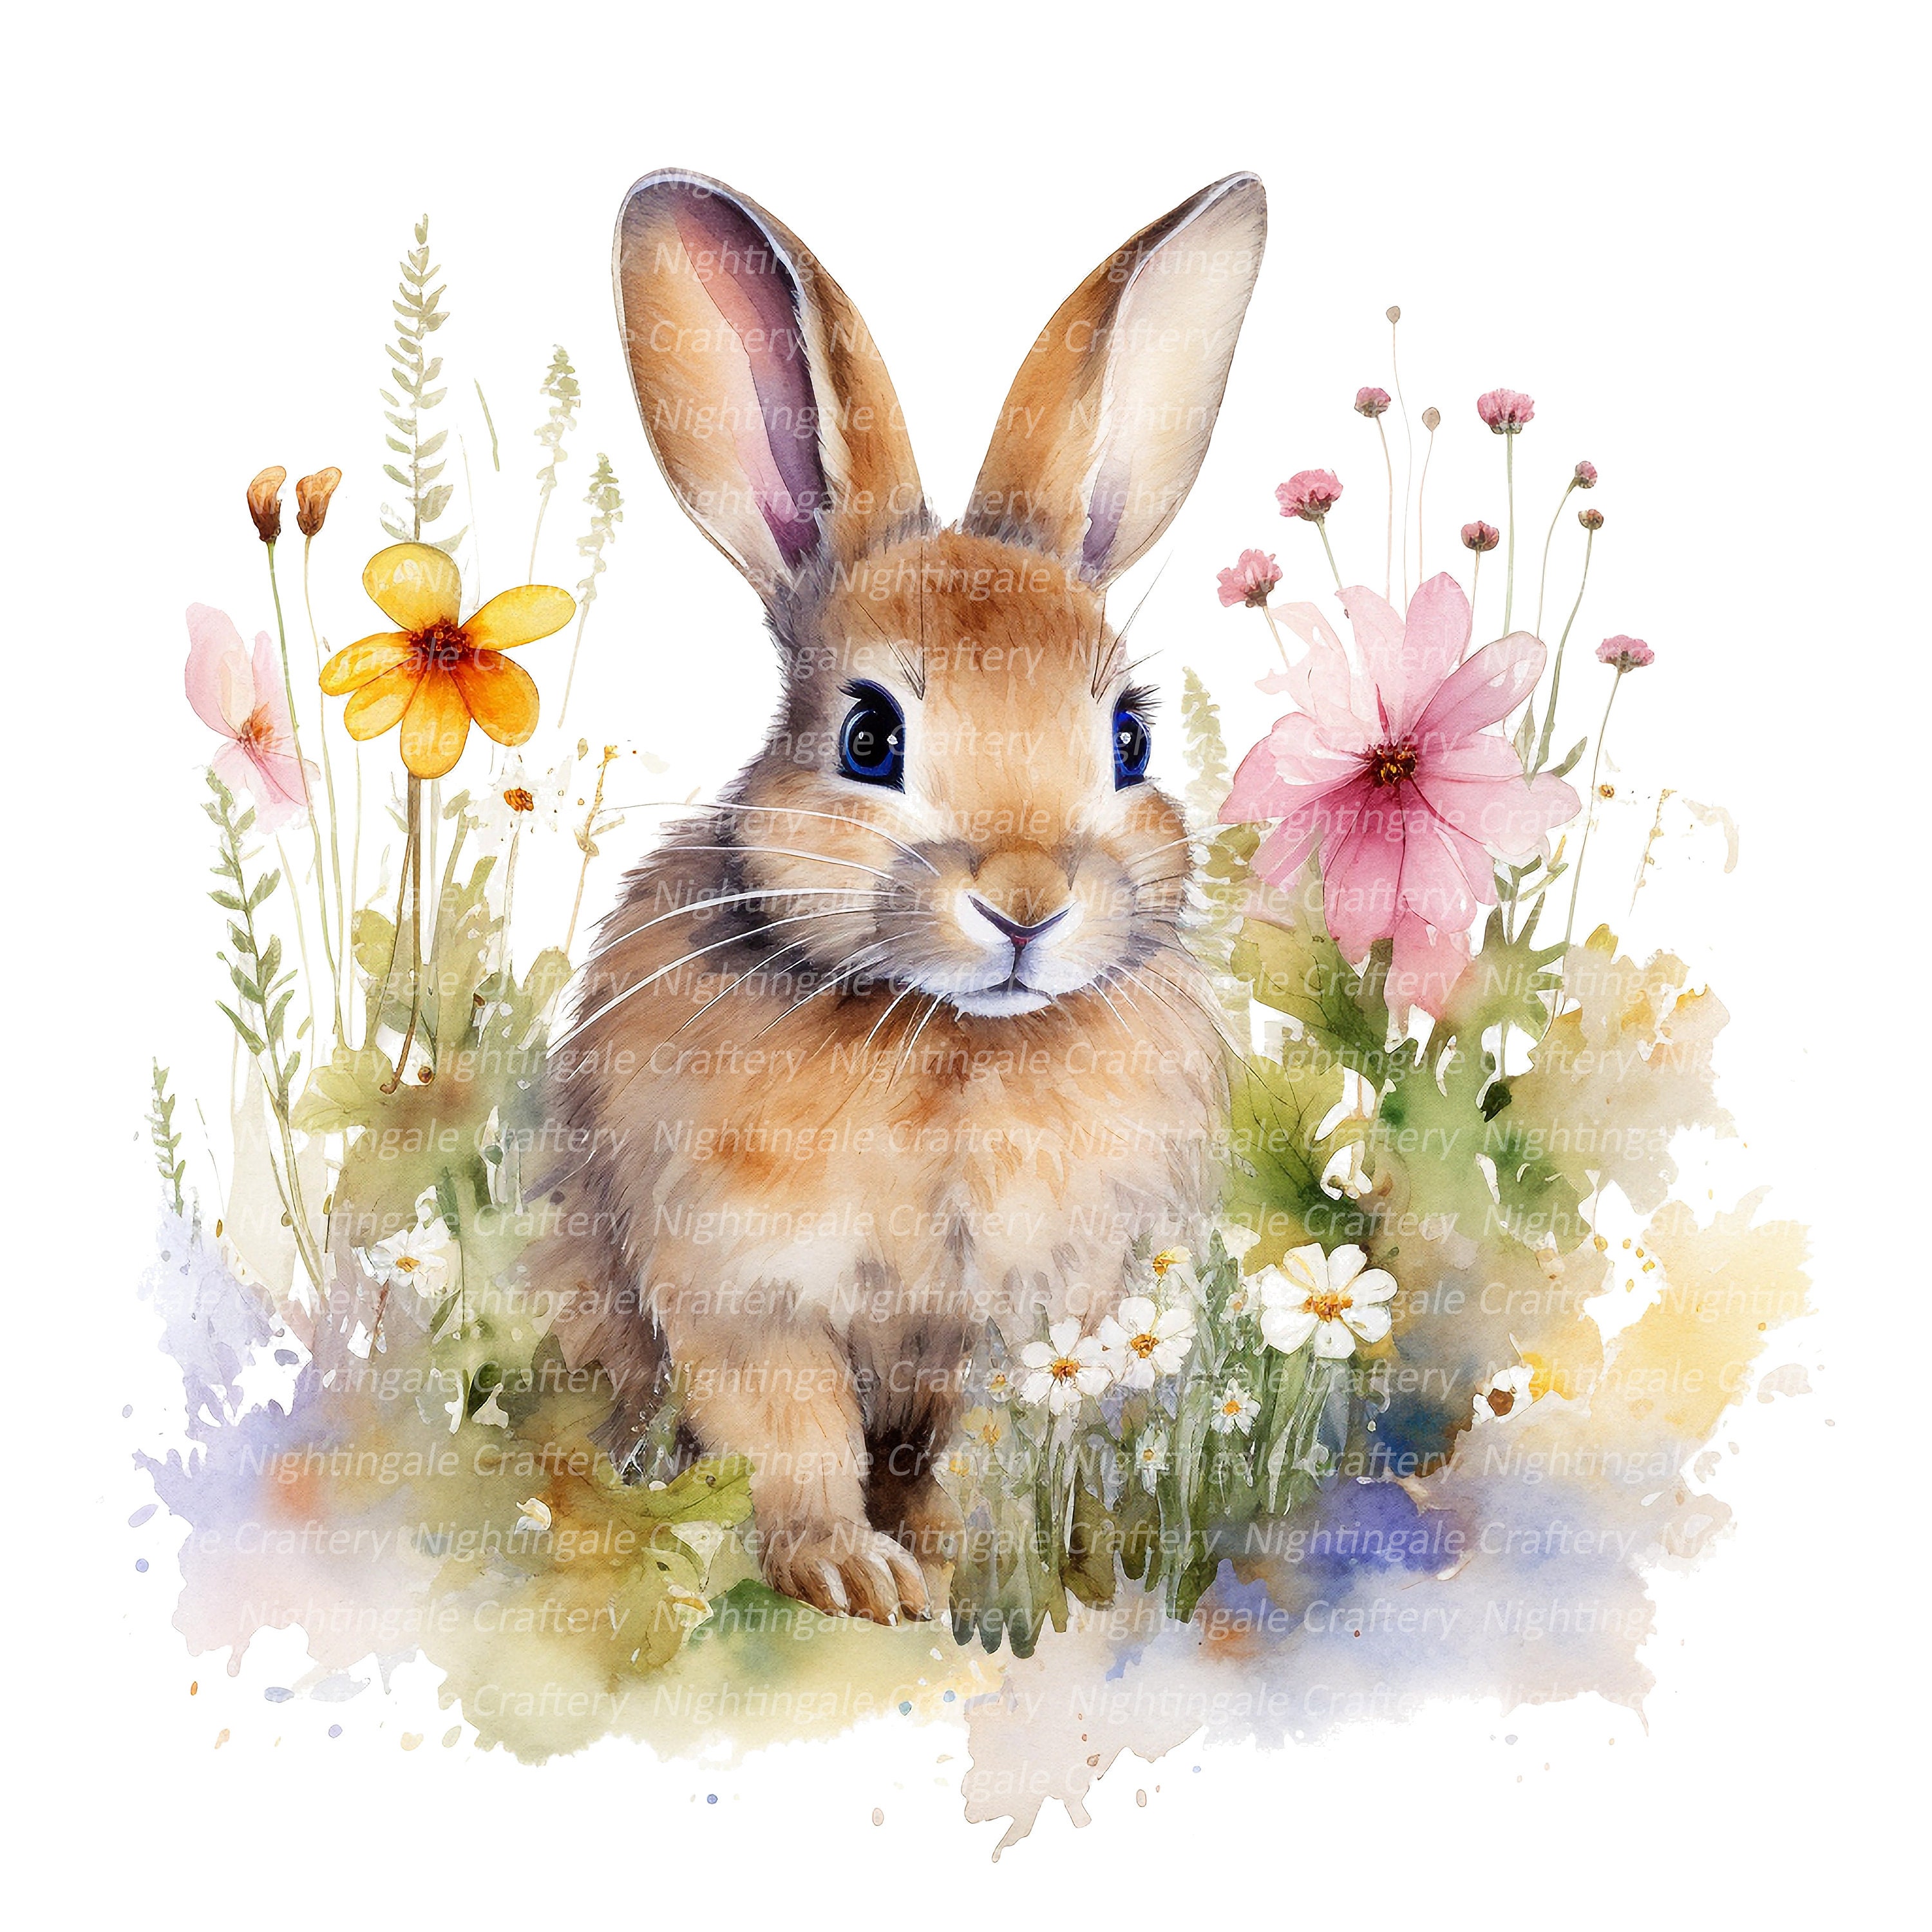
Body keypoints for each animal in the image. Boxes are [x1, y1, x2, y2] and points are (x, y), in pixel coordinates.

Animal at [529, 167, 1267, 1624]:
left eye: (1130, 739)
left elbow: (981, 1449)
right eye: (870, 739)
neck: (950, 1042)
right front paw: (851, 1572)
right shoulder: (741, 1291)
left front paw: (963, 1568)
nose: (1028, 900)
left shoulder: (1039, 1322)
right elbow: (792, 1430)